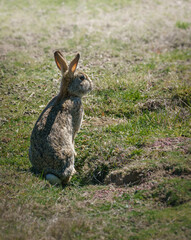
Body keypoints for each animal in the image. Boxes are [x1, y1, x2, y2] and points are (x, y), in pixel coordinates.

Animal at [28, 50, 93, 186]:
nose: (91, 86)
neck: (67, 94)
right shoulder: (75, 127)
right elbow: (73, 139)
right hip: (66, 156)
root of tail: (47, 171)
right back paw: (73, 172)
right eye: (82, 78)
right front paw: (77, 153)